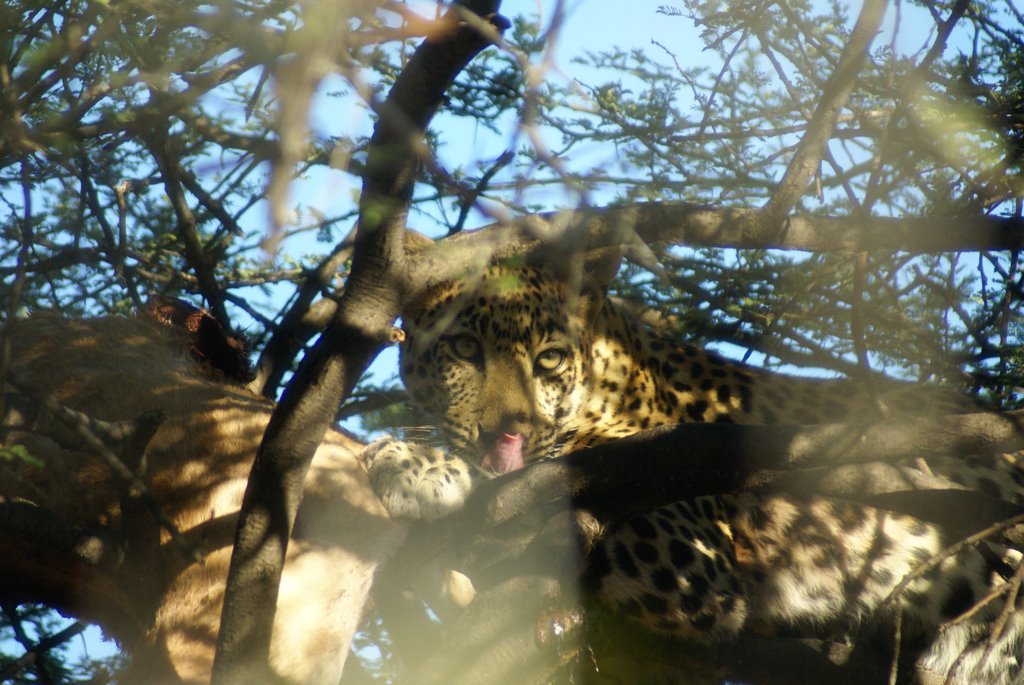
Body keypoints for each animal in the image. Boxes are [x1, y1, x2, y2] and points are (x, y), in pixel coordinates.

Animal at [362, 255, 1024, 683]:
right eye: (464, 349)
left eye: (547, 359)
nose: (508, 432)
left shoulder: (683, 541)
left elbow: (540, 482)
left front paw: (411, 463)